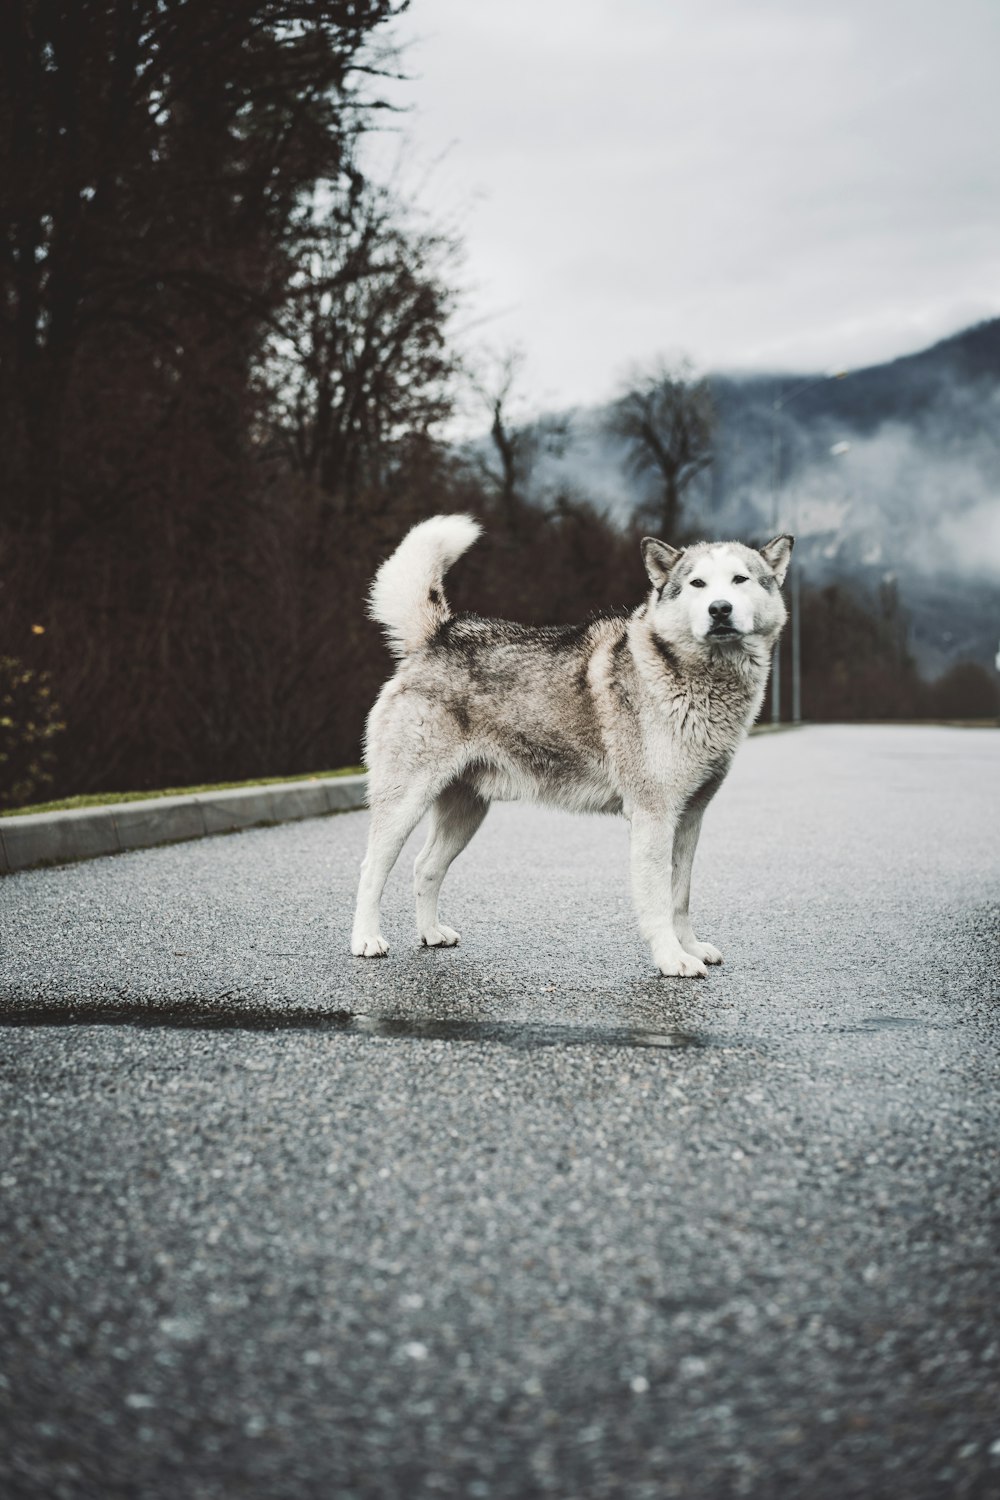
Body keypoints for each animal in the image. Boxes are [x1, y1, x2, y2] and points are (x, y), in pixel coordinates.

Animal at [352, 522, 791, 978]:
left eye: (739, 579)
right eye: (698, 584)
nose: (720, 609)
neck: (698, 682)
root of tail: (438, 634)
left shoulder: (689, 818)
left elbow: (680, 898)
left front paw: (690, 948)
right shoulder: (653, 818)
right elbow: (658, 902)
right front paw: (672, 959)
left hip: (466, 814)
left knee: (425, 868)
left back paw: (431, 933)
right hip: (405, 805)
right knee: (372, 869)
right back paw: (366, 940)